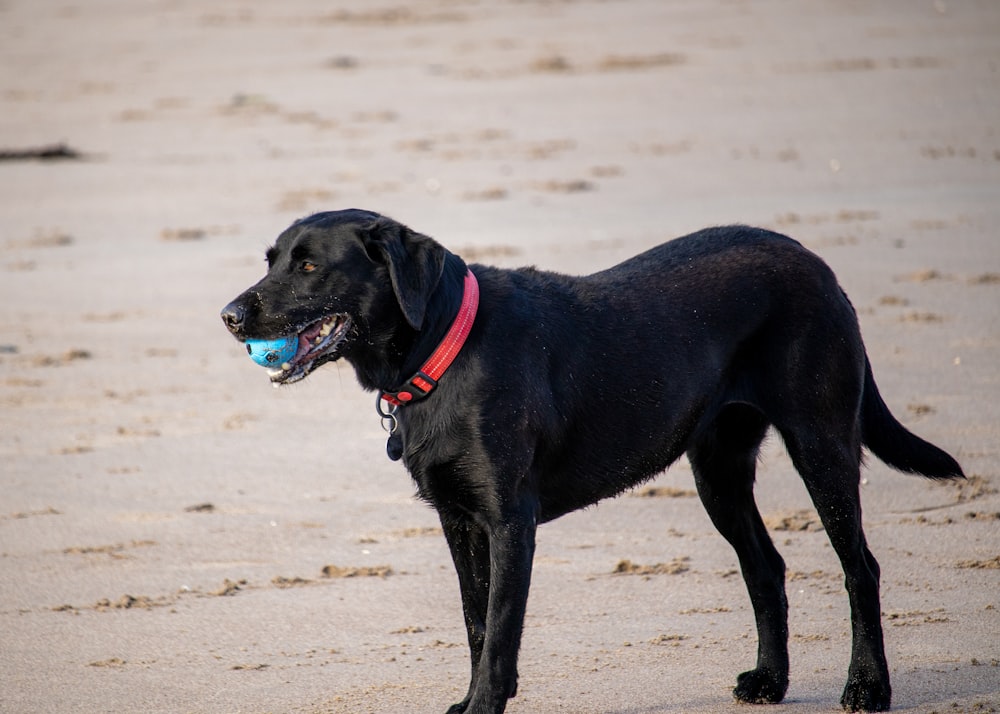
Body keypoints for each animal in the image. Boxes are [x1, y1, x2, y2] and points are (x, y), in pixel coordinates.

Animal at [221, 209, 960, 708]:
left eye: (310, 266)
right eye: (271, 259)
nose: (228, 314)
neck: (442, 347)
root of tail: (814, 259)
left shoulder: (509, 521)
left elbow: (500, 630)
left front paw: (484, 704)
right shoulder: (458, 520)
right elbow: (474, 621)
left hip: (820, 441)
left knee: (860, 568)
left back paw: (867, 688)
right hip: (717, 470)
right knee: (766, 566)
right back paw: (770, 682)